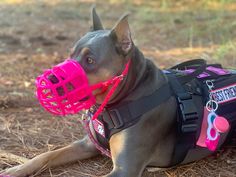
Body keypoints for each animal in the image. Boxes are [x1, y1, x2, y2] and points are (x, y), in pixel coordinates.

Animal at [0, 7, 235, 177]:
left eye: (90, 60)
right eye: (70, 54)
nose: (49, 79)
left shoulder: (124, 169)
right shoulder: (87, 144)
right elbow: (48, 154)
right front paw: (15, 169)